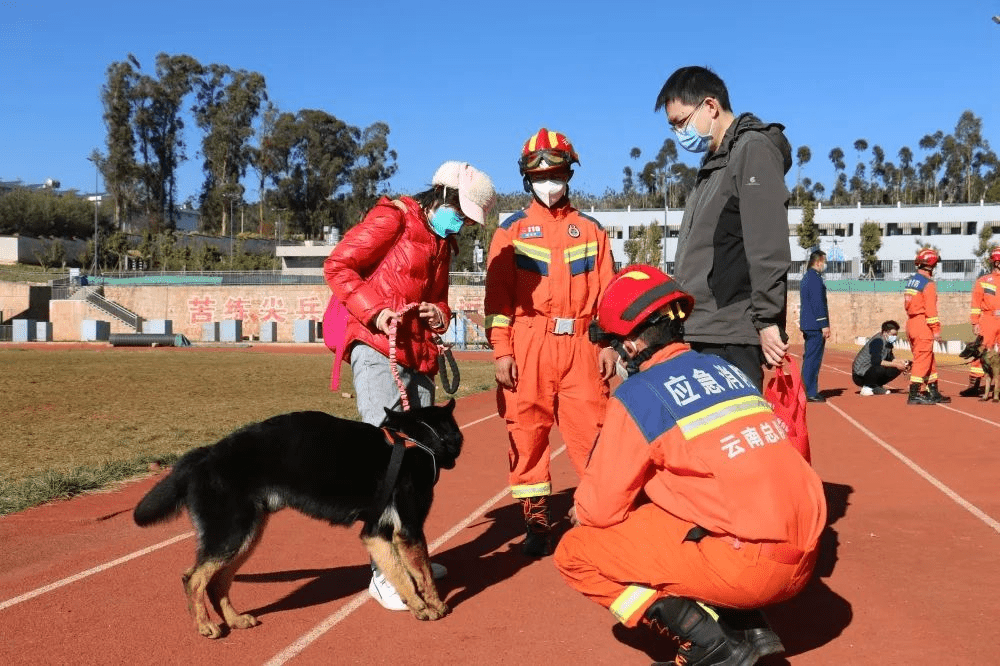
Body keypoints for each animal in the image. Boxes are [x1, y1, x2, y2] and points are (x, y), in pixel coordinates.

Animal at [132, 396, 460, 636]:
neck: (416, 439)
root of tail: (206, 454)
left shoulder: (376, 533)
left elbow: (400, 573)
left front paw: (417, 606)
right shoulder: (409, 530)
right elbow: (422, 573)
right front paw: (435, 606)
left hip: (245, 537)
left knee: (216, 582)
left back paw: (235, 620)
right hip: (230, 534)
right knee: (193, 579)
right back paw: (204, 625)